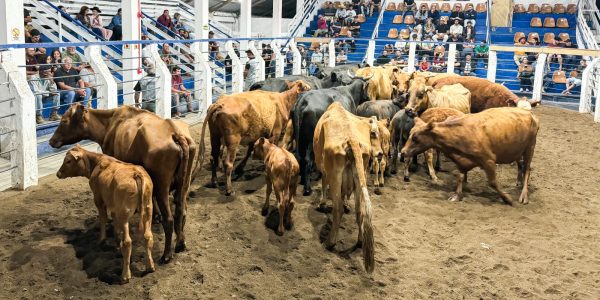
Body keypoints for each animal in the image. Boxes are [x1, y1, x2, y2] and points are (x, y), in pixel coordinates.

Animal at [49, 104, 196, 264]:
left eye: (64, 121)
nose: (51, 141)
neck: (109, 123)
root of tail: (175, 133)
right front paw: (155, 216)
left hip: (162, 185)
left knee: (169, 219)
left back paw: (166, 255)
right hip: (183, 184)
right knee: (181, 211)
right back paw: (181, 243)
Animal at [56, 146, 155, 284]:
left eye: (68, 161)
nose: (58, 174)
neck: (97, 163)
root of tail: (136, 173)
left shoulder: (98, 199)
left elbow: (103, 218)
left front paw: (101, 239)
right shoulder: (114, 207)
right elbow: (114, 224)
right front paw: (116, 243)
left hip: (124, 213)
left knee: (128, 242)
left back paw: (125, 275)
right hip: (148, 209)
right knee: (147, 236)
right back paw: (150, 266)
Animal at [314, 102, 376, 274]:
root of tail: (351, 139)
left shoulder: (323, 168)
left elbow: (323, 183)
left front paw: (321, 203)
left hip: (335, 174)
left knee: (338, 209)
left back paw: (330, 242)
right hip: (360, 173)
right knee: (360, 211)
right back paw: (360, 241)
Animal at [404, 106, 540, 205]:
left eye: (415, 138)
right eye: (409, 134)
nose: (403, 151)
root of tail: (530, 114)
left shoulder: (489, 161)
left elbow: (492, 182)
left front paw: (507, 198)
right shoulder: (462, 161)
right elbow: (460, 177)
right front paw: (457, 195)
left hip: (530, 147)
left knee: (527, 169)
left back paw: (524, 195)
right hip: (518, 151)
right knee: (521, 166)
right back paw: (519, 183)